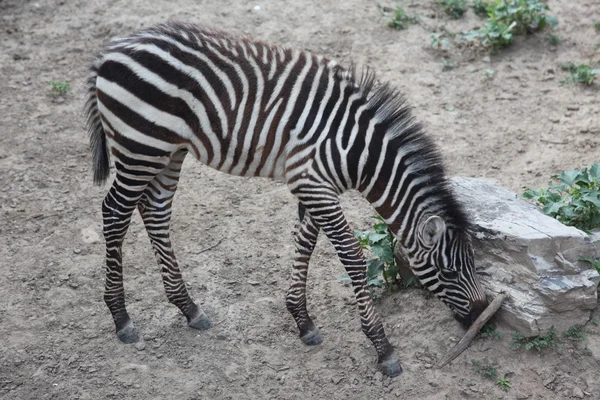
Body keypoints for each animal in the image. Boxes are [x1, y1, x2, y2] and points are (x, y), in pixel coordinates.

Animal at [84, 21, 488, 378]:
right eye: (449, 272)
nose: (482, 319)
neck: (357, 152)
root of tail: (109, 51)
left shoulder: (313, 185)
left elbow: (305, 243)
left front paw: (302, 320)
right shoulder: (313, 183)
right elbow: (352, 258)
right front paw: (382, 348)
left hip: (169, 150)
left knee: (154, 211)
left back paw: (188, 307)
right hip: (141, 146)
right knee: (115, 212)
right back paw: (121, 317)